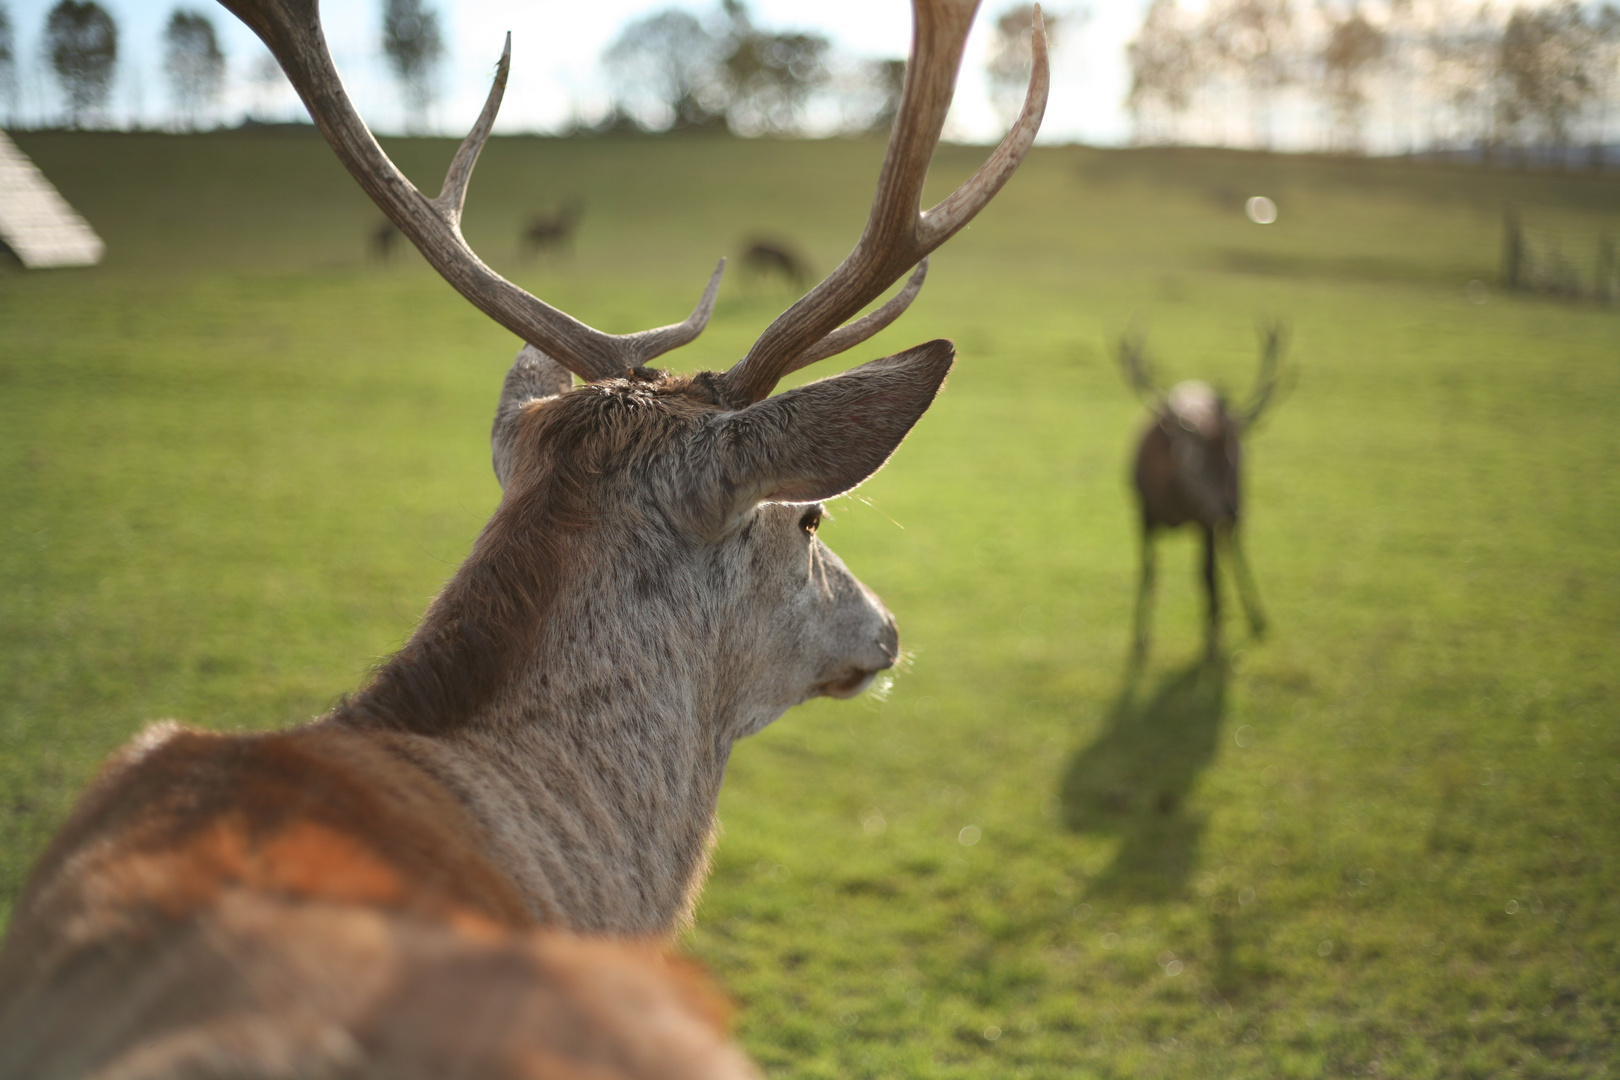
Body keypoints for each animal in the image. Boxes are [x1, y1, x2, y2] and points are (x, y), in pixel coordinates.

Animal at [1114, 320, 1289, 663]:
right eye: (1195, 464)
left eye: (1233, 458)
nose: (1232, 511)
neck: (1173, 502)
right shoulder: (1143, 512)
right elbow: (1148, 571)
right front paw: (1140, 640)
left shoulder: (1206, 521)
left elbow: (1208, 576)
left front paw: (1214, 642)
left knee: (1233, 552)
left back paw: (1256, 619)